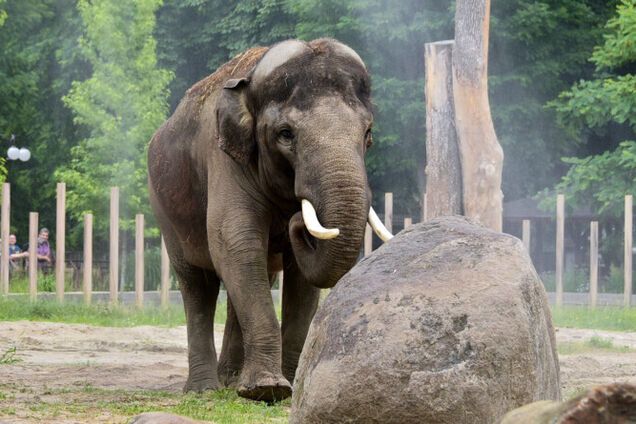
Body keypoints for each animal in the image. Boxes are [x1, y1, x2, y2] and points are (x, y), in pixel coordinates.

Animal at [147, 39, 392, 400]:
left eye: (368, 133)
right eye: (286, 134)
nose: (295, 223)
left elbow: (299, 278)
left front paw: (289, 385)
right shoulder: (224, 160)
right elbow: (236, 244)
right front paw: (267, 389)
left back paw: (231, 380)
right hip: (165, 210)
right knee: (198, 283)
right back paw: (204, 390)